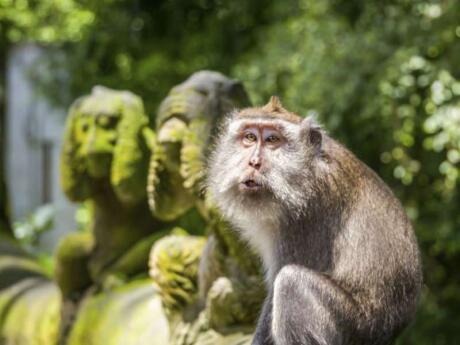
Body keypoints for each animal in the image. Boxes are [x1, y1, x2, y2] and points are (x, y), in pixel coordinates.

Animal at [207, 96, 422, 344]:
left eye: (273, 140)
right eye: (249, 137)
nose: (253, 162)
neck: (306, 169)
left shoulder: (302, 219)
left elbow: (276, 294)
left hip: (350, 326)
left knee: (291, 283)